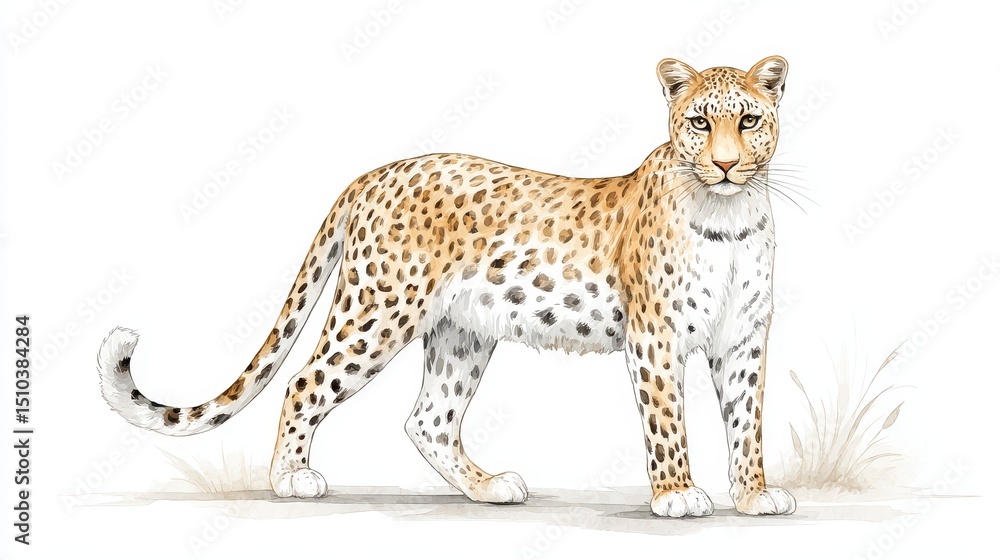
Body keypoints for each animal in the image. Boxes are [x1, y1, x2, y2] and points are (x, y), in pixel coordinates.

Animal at [97, 55, 795, 517]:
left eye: (748, 121)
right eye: (701, 124)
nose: (726, 163)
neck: (729, 215)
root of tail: (373, 174)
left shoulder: (743, 340)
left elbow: (747, 420)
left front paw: (754, 495)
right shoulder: (655, 336)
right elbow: (666, 418)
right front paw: (678, 495)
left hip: (461, 332)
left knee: (428, 418)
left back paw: (489, 488)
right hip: (377, 311)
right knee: (304, 382)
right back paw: (292, 478)